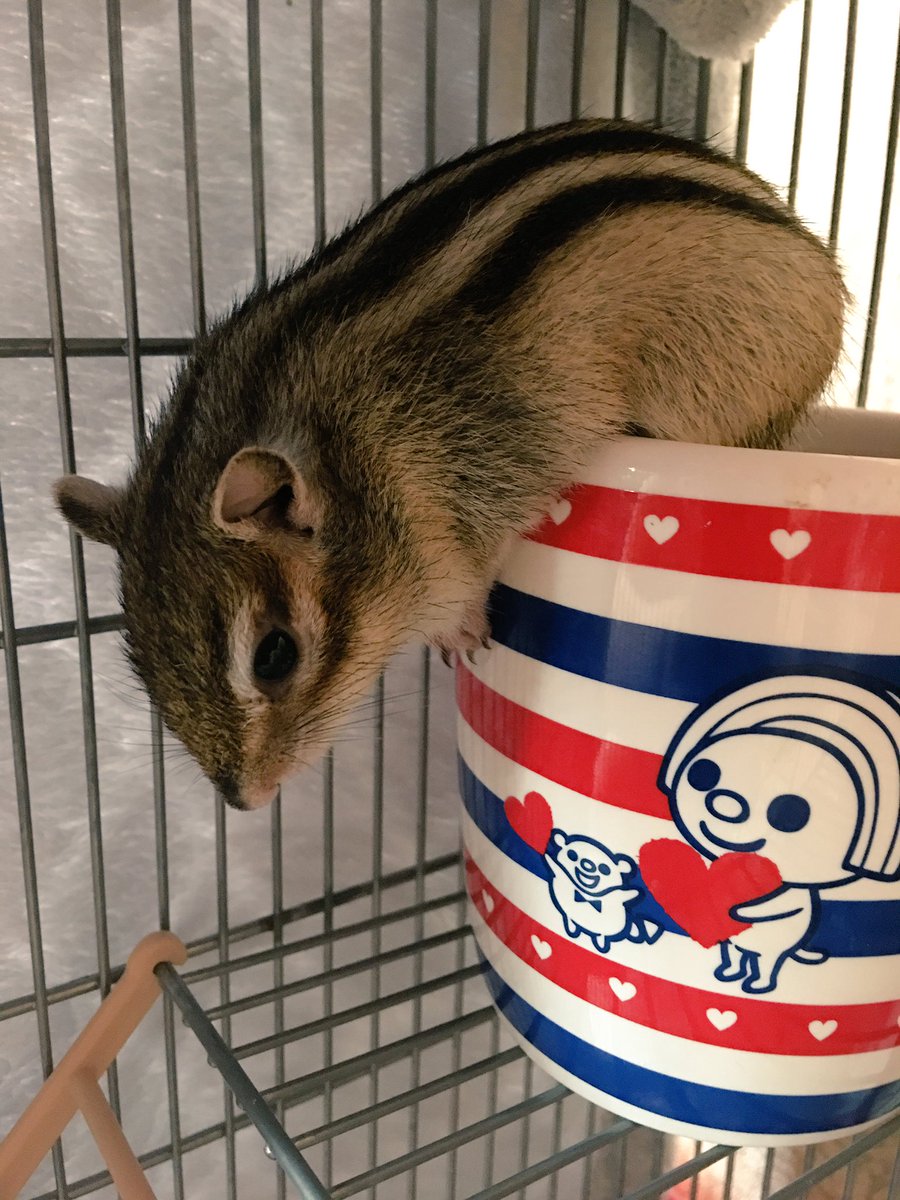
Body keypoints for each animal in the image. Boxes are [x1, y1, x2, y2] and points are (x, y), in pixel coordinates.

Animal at [53, 119, 846, 810]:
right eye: (137, 656)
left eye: (274, 656)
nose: (244, 801)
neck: (348, 450)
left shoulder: (489, 465)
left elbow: (472, 565)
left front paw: (458, 627)